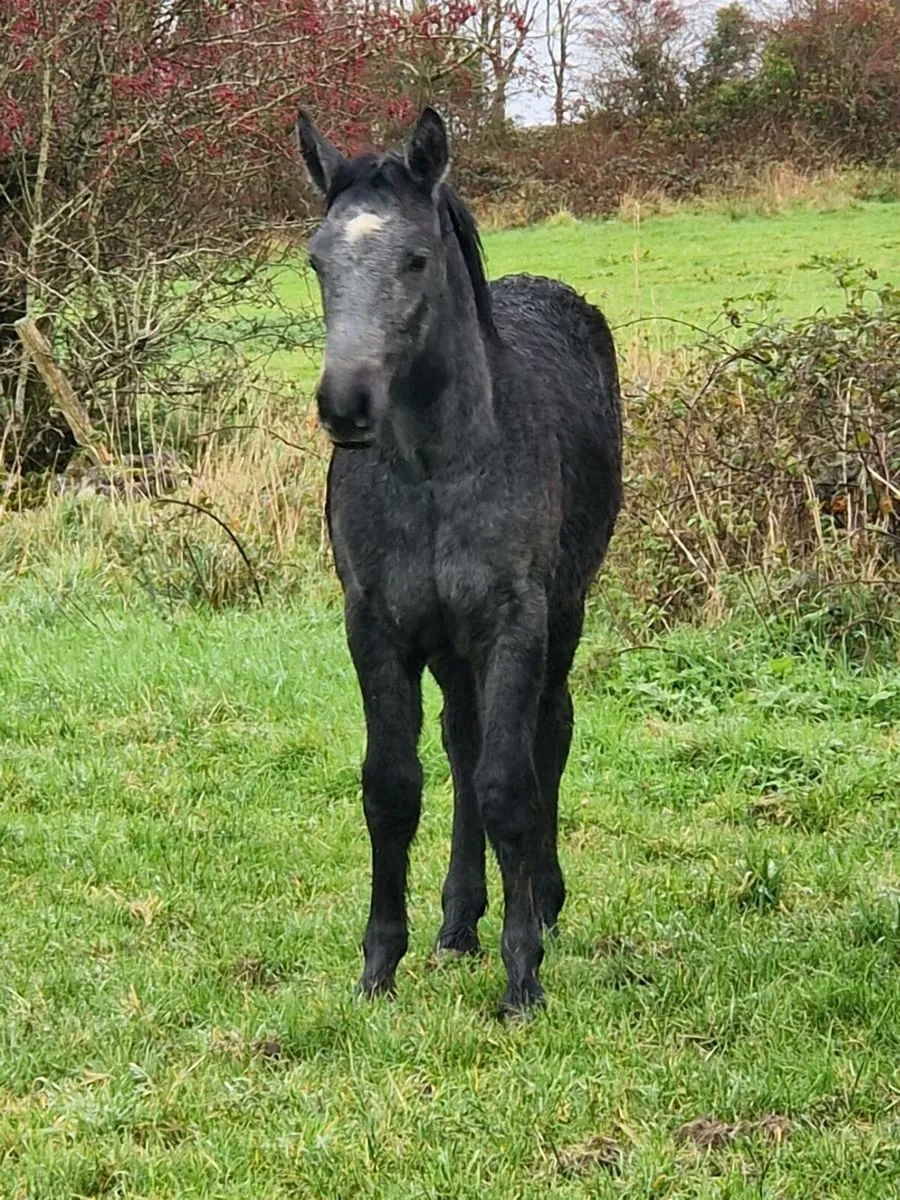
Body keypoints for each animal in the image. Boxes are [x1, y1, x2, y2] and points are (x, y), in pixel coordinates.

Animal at [296, 106, 622, 1014]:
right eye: (317, 259)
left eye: (414, 258)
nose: (345, 406)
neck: (437, 470)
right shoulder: (378, 628)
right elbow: (392, 786)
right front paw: (379, 966)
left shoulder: (514, 625)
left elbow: (511, 785)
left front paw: (522, 979)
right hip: (448, 648)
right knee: (462, 742)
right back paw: (457, 921)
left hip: (563, 615)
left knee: (548, 734)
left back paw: (542, 904)